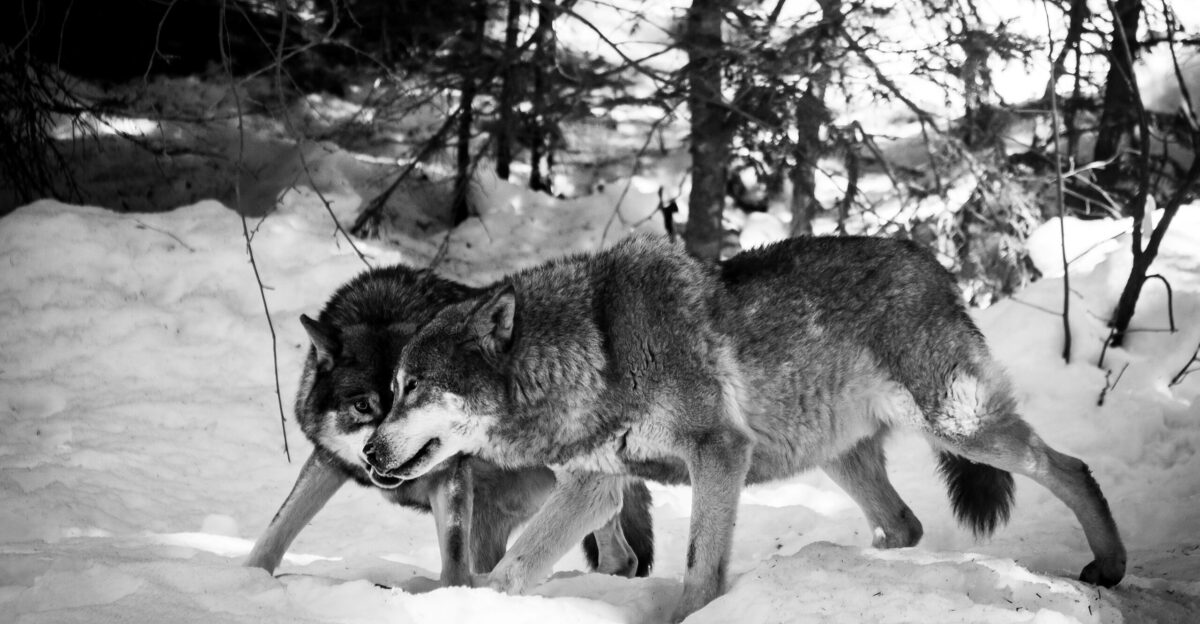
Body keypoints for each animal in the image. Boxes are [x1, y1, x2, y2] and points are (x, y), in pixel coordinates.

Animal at [244, 264, 654, 586]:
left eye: (414, 394)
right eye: (363, 406)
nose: (377, 453)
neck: (385, 309)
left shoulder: (451, 475)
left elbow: (453, 561)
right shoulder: (329, 461)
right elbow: (278, 527)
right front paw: (247, 578)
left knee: (619, 550)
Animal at [364, 235, 1126, 621]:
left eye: (415, 388)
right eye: (391, 390)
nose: (369, 450)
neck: (599, 346)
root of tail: (932, 263)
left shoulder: (719, 453)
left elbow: (700, 568)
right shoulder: (597, 486)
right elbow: (515, 569)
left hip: (958, 427)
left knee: (1073, 468)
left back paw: (1111, 567)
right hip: (840, 456)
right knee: (906, 524)